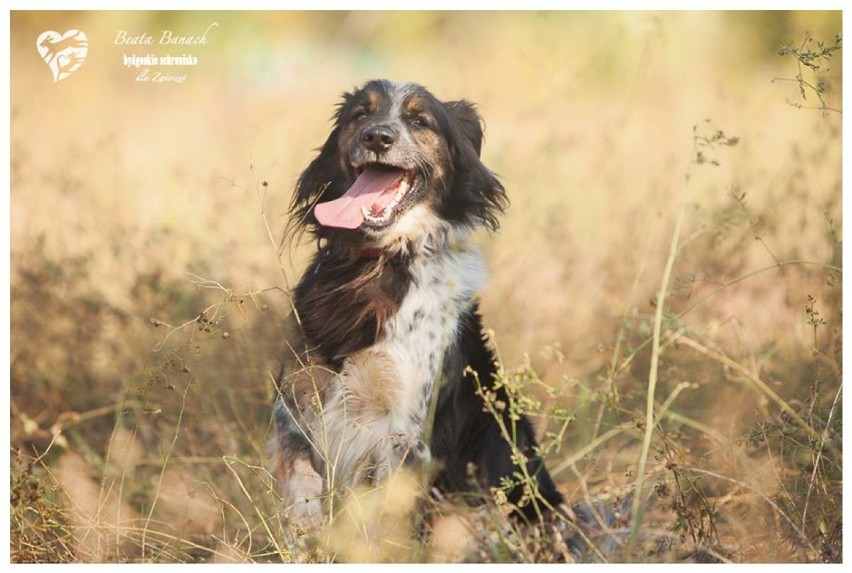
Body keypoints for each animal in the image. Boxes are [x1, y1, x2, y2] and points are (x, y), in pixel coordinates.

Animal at [272, 79, 564, 528]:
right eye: (361, 114)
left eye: (419, 120)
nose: (377, 136)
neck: (376, 264)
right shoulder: (296, 400)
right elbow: (300, 482)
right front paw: (305, 531)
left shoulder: (403, 430)